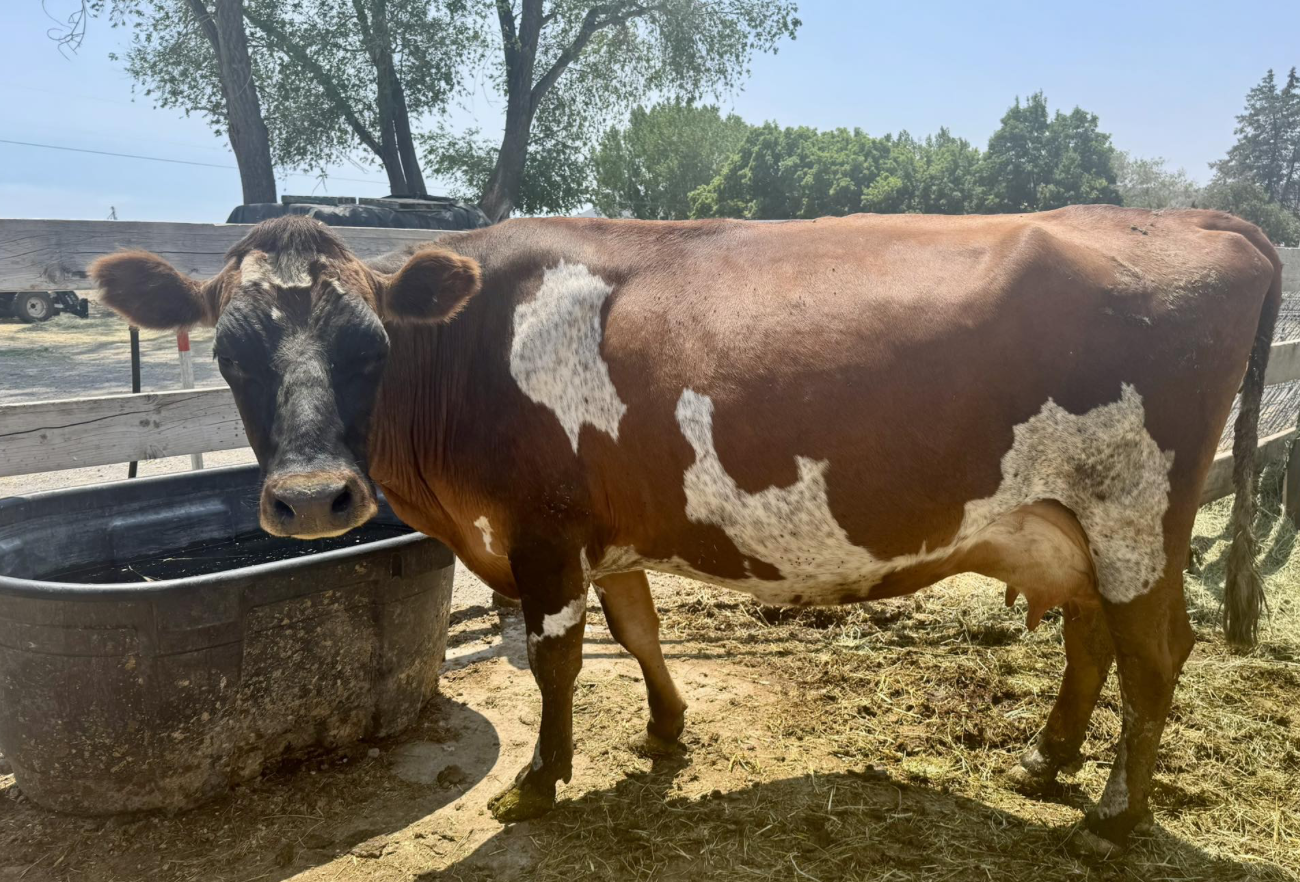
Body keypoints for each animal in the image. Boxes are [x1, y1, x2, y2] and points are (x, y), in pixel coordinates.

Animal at [90, 206, 1282, 852]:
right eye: (230, 350)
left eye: (367, 344)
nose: (310, 498)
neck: (467, 351)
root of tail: (1203, 218)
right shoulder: (606, 527)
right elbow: (638, 632)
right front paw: (665, 730)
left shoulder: (541, 531)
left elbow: (558, 659)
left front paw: (538, 781)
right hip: (1067, 520)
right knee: (1091, 642)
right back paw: (1047, 761)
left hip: (1135, 518)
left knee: (1155, 656)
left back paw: (1114, 815)